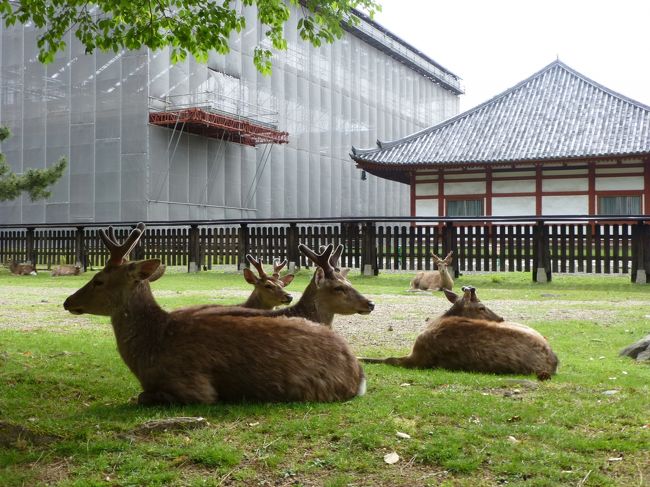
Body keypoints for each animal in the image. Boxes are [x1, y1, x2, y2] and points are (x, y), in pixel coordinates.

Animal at [360, 286, 558, 381]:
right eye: (481, 307)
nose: (501, 318)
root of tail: (554, 362)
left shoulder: (419, 358)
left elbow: (389, 359)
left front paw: (362, 358)